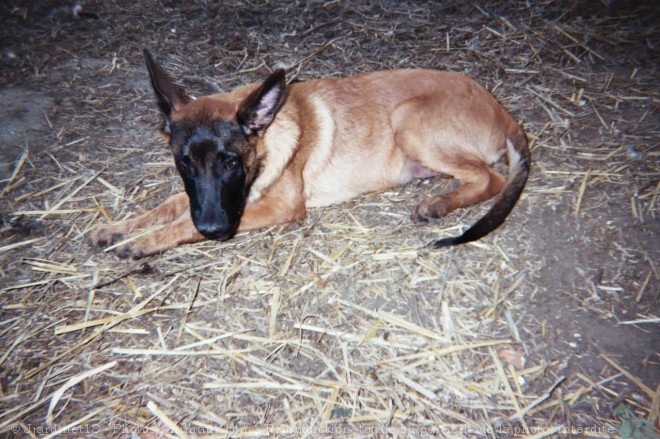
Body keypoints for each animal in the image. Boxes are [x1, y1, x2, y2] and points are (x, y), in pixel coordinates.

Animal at [90, 49, 528, 260]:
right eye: (184, 163)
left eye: (230, 162)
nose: (214, 228)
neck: (266, 141)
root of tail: (505, 113)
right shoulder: (207, 197)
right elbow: (168, 205)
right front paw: (121, 227)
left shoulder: (277, 207)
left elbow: (183, 223)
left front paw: (144, 242)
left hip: (408, 121)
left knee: (492, 179)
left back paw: (438, 205)